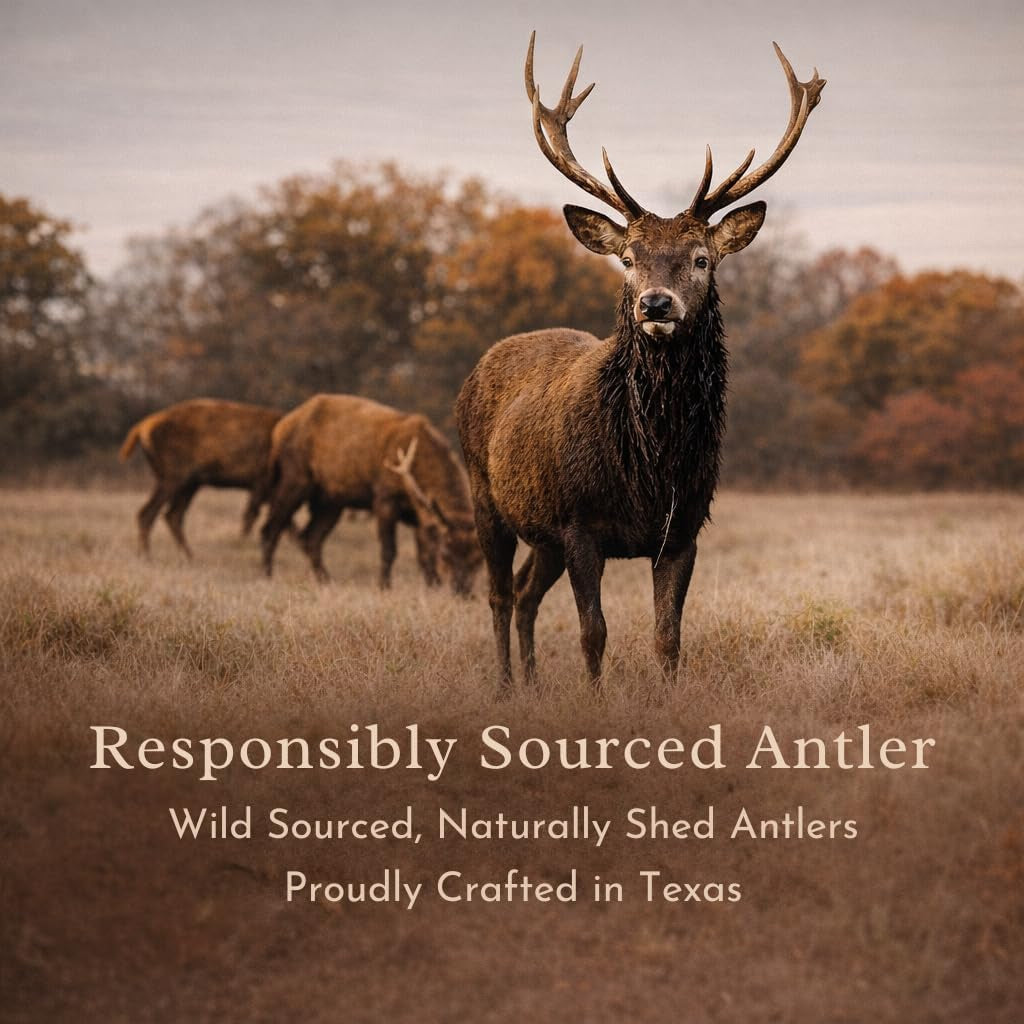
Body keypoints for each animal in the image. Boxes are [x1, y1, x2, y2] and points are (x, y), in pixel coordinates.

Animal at [119, 398, 282, 557]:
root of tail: (141, 427)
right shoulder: (260, 481)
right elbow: (251, 516)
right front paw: (243, 544)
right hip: (173, 477)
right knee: (148, 513)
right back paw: (147, 556)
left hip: (190, 483)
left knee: (172, 515)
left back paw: (187, 556)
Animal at [260, 394, 482, 595]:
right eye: (446, 554)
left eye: (478, 559)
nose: (462, 591)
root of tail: (280, 429)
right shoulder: (384, 498)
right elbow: (389, 550)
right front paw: (384, 586)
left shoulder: (420, 514)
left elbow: (424, 555)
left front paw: (432, 587)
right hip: (294, 477)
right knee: (270, 529)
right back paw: (268, 577)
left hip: (331, 500)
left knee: (311, 538)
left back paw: (326, 581)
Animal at [455, 33, 825, 693]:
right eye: (628, 258)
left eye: (701, 258)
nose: (655, 303)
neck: (651, 466)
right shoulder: (579, 520)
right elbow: (593, 633)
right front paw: (596, 703)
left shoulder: (683, 529)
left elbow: (668, 638)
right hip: (484, 495)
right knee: (499, 594)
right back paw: (503, 686)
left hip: (542, 533)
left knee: (525, 594)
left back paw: (531, 684)